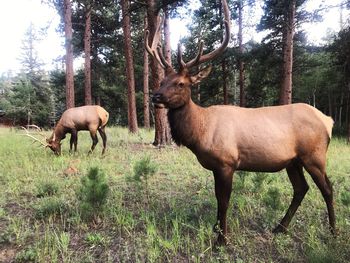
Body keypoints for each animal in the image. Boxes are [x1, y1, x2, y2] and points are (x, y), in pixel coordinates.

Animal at [144, 0, 334, 245]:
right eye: (162, 80)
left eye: (180, 83)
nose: (155, 96)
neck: (201, 131)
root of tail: (328, 120)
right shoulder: (216, 166)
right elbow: (217, 198)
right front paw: (215, 228)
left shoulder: (227, 162)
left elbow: (224, 200)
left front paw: (222, 239)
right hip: (293, 161)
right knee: (301, 188)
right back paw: (280, 227)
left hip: (314, 155)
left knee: (327, 188)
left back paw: (333, 231)